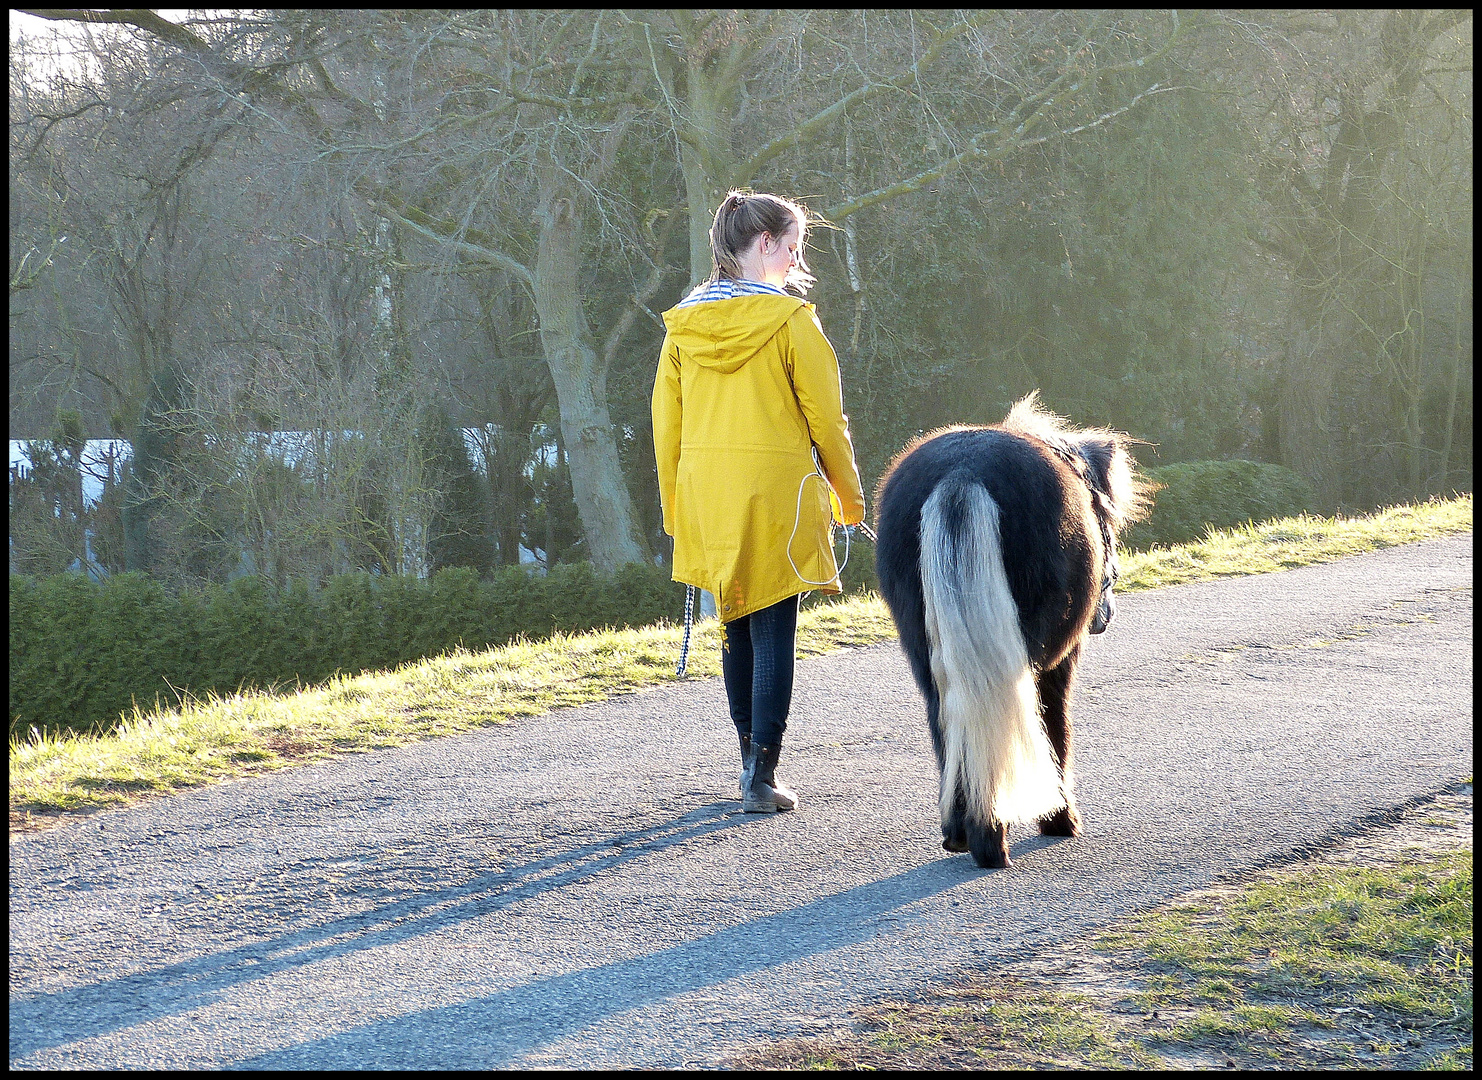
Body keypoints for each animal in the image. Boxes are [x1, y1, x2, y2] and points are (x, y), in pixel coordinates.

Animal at [871, 394, 1150, 865]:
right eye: (1106, 518)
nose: (1104, 616)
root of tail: (962, 474)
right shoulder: (1059, 661)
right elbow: (1054, 726)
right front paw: (1059, 820)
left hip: (926, 653)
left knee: (950, 720)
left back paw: (962, 832)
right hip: (1030, 655)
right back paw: (996, 834)